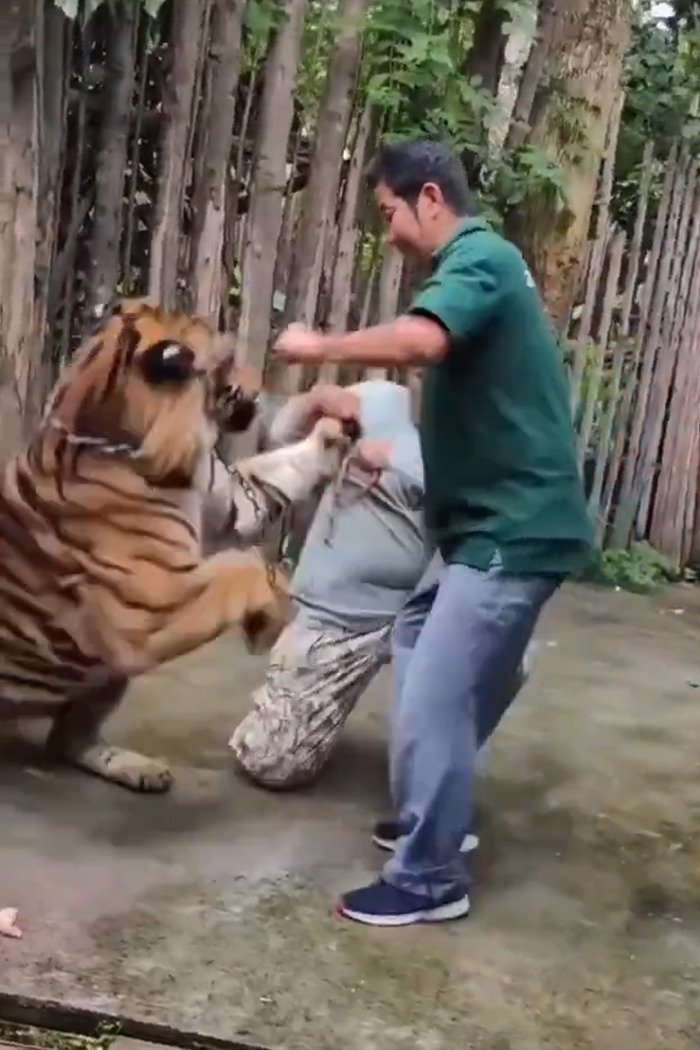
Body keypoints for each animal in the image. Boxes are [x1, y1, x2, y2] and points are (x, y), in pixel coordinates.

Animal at [0, 298, 351, 793]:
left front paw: (332, 432)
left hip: (103, 675)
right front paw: (269, 620)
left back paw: (137, 769)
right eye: (226, 359)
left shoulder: (235, 498)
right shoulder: (149, 601)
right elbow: (243, 565)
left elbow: (277, 474)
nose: (259, 384)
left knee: (67, 740)